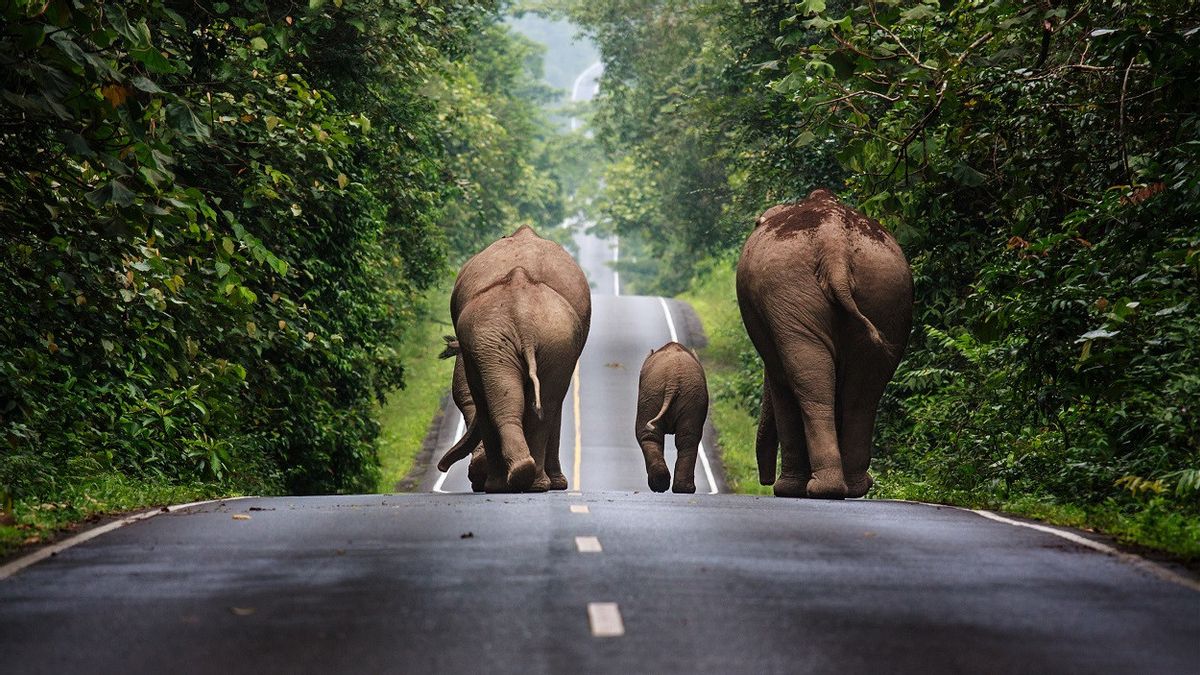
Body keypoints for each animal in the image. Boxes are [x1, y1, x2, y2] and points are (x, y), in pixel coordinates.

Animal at [441, 224, 590, 487]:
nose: (441, 467)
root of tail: (522, 312)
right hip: (530, 339)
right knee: (539, 404)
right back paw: (527, 479)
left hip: (535, 338)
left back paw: (512, 482)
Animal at [633, 338, 705, 492]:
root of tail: (673, 380)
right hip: (687, 396)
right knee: (688, 437)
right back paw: (681, 488)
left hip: (653, 393)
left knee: (648, 434)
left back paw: (662, 486)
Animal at [734, 186, 912, 497]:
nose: (764, 481)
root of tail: (835, 246)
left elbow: (780, 381)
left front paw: (786, 489)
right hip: (881, 293)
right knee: (862, 393)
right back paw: (851, 488)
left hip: (795, 289)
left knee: (814, 386)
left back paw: (818, 488)